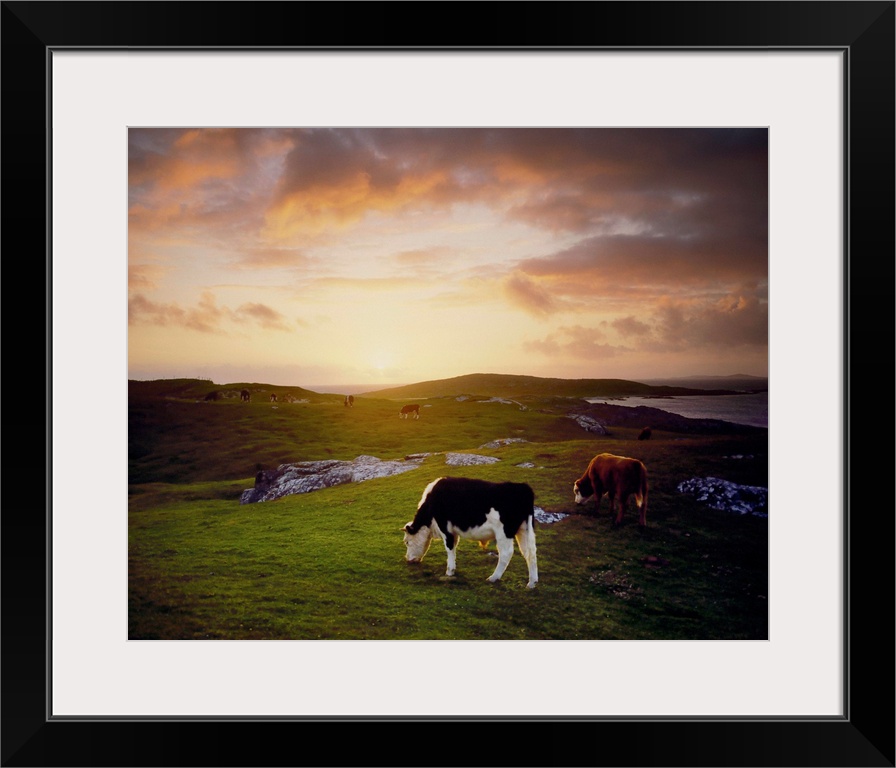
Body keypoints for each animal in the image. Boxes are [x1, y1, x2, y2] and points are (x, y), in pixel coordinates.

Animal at [404, 476, 540, 592]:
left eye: (407, 542)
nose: (408, 559)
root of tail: (522, 487)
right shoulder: (454, 532)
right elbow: (454, 547)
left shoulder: (445, 528)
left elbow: (449, 548)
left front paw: (449, 571)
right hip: (524, 530)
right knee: (530, 553)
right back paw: (532, 583)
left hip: (504, 533)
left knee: (506, 553)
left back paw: (493, 577)